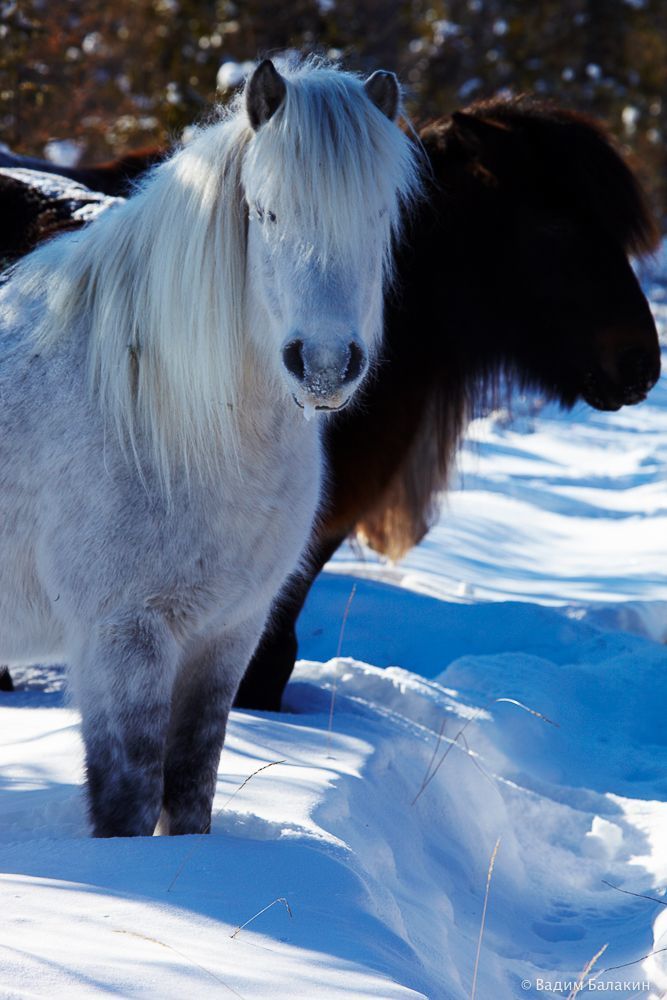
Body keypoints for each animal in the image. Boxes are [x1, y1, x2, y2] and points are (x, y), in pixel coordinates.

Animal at [0, 57, 421, 836]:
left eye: (377, 216)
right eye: (267, 213)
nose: (324, 365)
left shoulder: (229, 634)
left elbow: (192, 786)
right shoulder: (124, 638)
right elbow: (130, 801)